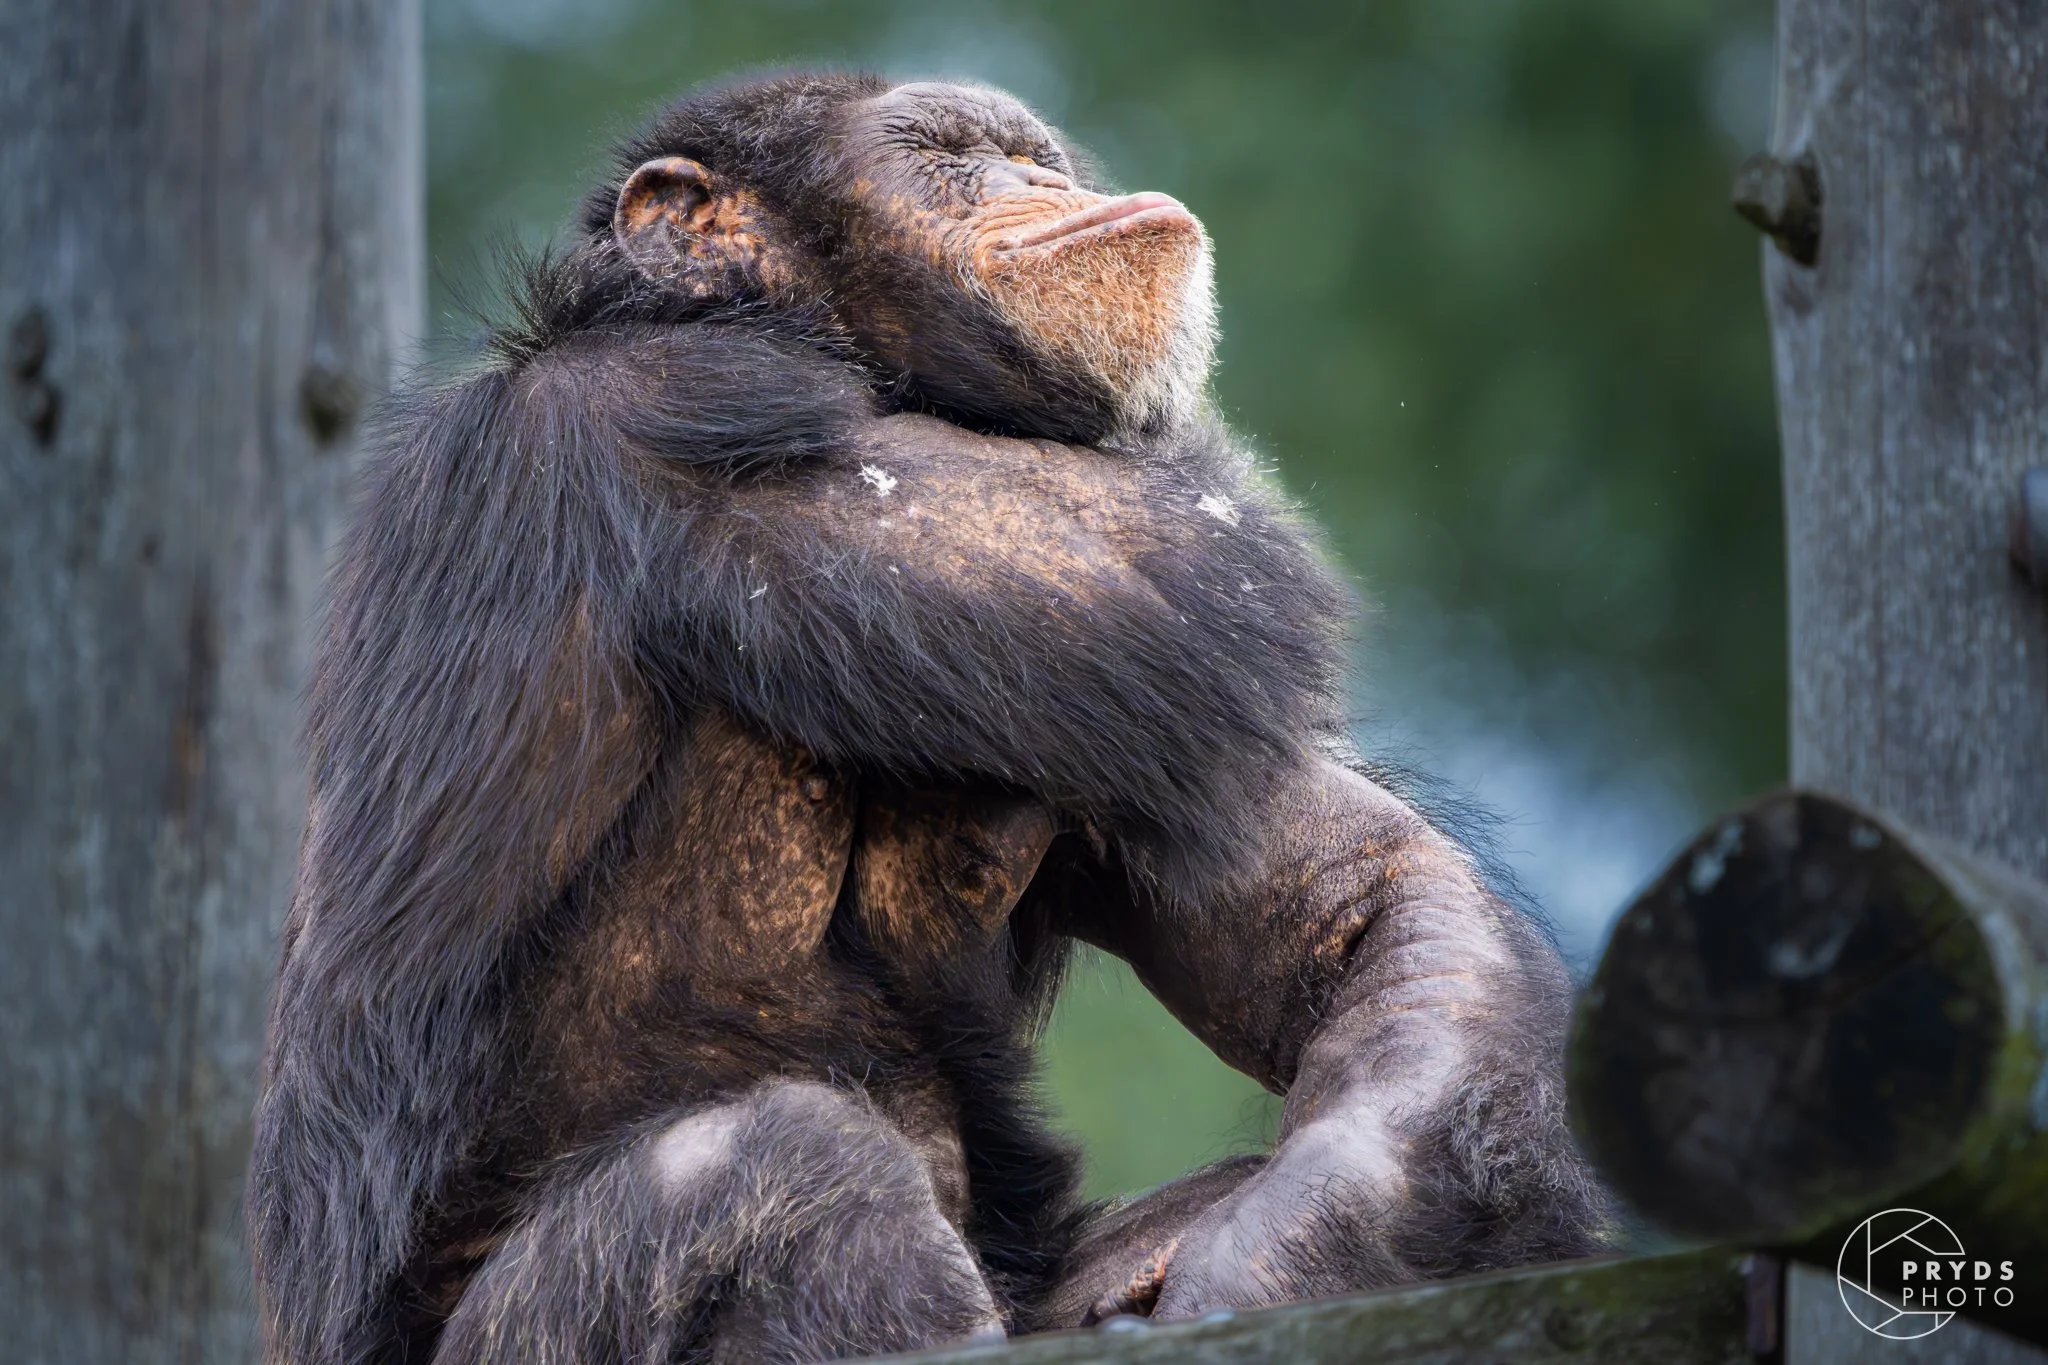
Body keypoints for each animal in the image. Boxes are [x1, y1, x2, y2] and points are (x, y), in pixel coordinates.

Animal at [250, 72, 1609, 1365]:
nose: (1040, 180)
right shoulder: (692, 406)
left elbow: (1361, 890)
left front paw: (1284, 1253)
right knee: (782, 1174)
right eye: (947, 155)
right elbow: (1170, 564)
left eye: (1029, 155)